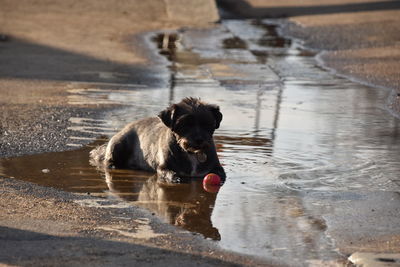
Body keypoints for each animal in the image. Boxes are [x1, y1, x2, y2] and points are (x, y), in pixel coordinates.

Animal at [89, 97, 225, 183]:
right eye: (184, 124)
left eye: (207, 124)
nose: (199, 139)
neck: (191, 153)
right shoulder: (163, 167)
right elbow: (168, 172)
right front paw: (175, 178)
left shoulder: (218, 168)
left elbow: (221, 174)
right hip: (119, 143)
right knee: (109, 159)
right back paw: (112, 165)